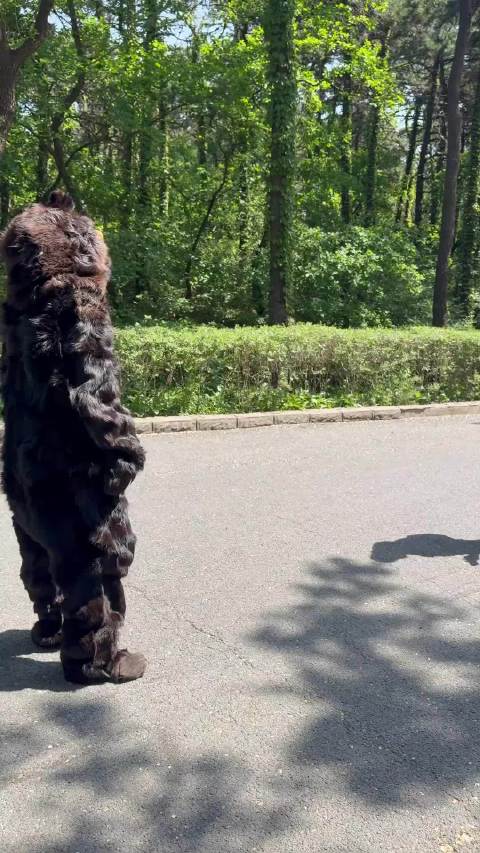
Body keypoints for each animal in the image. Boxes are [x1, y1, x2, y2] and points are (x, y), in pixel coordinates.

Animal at [0, 190, 147, 684]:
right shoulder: (85, 314)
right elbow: (99, 403)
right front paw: (130, 458)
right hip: (93, 515)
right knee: (98, 590)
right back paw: (106, 665)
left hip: (26, 517)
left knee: (42, 576)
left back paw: (47, 633)